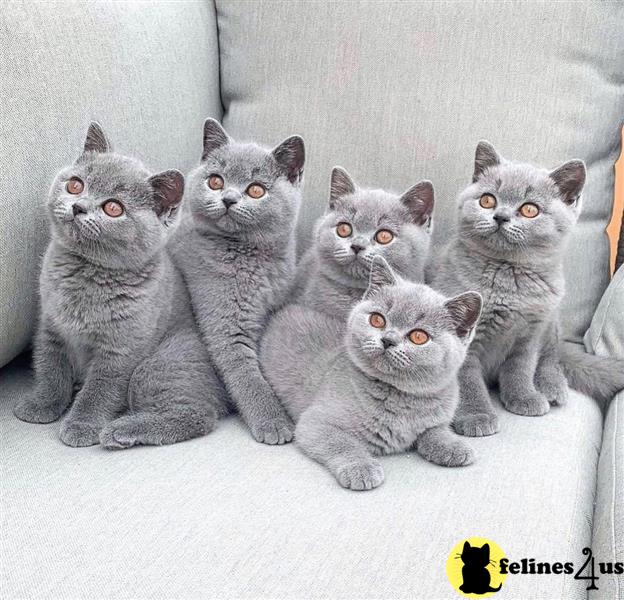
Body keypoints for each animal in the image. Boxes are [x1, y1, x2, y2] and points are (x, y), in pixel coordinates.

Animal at [12, 124, 224, 448]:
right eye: (76, 185)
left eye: (113, 208)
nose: (78, 206)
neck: (86, 275)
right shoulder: (51, 326)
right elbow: (50, 368)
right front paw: (42, 405)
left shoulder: (121, 350)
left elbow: (100, 390)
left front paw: (81, 425)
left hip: (161, 364)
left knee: (199, 414)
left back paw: (120, 430)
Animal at [169, 118, 306, 446]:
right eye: (215, 181)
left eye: (256, 190)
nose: (228, 199)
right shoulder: (226, 325)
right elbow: (248, 376)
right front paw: (274, 422)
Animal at [260, 255, 480, 490]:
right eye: (377, 320)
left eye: (419, 337)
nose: (388, 340)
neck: (400, 399)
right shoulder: (315, 423)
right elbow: (343, 443)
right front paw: (361, 468)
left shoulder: (437, 418)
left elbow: (435, 430)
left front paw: (454, 446)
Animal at [432, 143, 620, 438]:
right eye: (487, 200)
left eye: (530, 209)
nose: (500, 216)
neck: (509, 280)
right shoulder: (465, 340)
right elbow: (467, 380)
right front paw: (477, 415)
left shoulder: (530, 333)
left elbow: (520, 367)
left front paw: (524, 397)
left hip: (551, 321)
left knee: (552, 355)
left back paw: (551, 385)